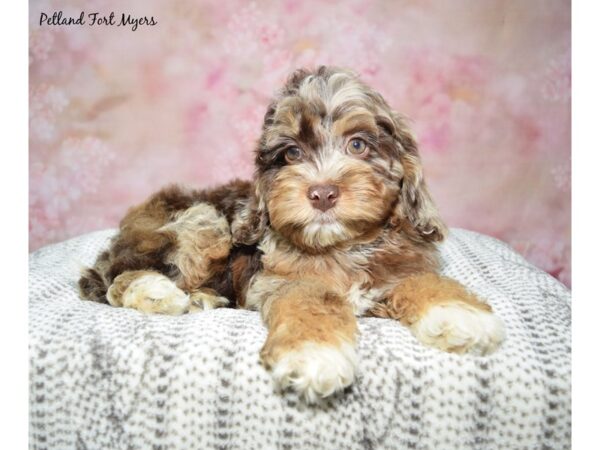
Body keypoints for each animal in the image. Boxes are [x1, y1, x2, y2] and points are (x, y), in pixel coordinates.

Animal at [78, 65, 502, 402]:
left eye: (358, 144)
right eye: (292, 154)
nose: (322, 193)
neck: (343, 245)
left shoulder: (402, 262)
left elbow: (422, 280)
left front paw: (459, 313)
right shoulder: (280, 280)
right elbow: (310, 300)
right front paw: (315, 354)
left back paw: (202, 299)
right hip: (201, 221)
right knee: (117, 279)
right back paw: (157, 293)